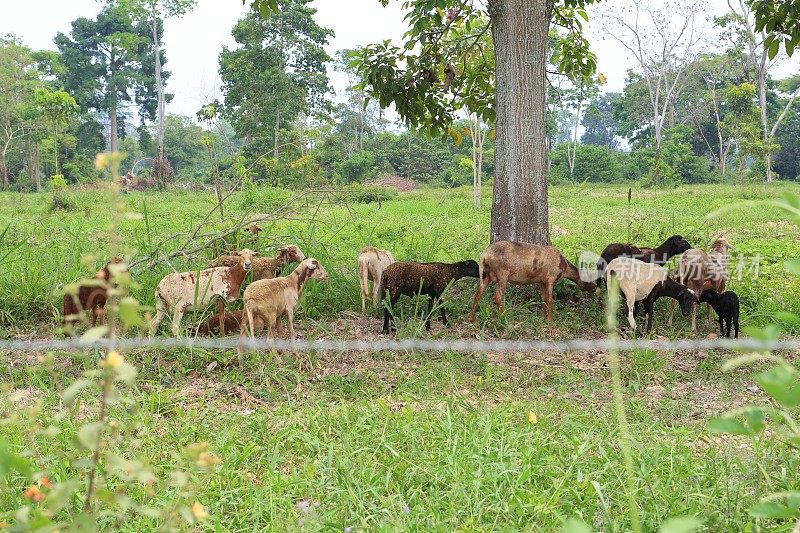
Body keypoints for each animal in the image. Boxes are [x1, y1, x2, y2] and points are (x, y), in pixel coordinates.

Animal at [466, 240, 596, 322]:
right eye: (589, 279)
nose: (595, 288)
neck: (564, 267)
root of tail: (484, 255)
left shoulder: (541, 281)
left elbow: (543, 299)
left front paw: (542, 317)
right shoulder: (551, 277)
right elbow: (550, 300)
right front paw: (550, 320)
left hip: (487, 275)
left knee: (477, 294)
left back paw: (471, 318)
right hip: (502, 273)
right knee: (497, 296)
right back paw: (503, 316)